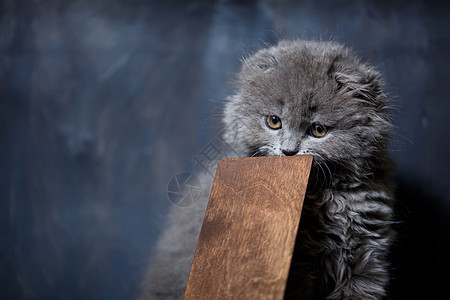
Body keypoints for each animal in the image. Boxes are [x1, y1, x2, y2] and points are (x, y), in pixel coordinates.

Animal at [142, 40, 396, 300]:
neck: (327, 196)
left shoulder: (365, 254)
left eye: (318, 130)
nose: (289, 151)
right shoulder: (299, 268)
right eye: (274, 121)